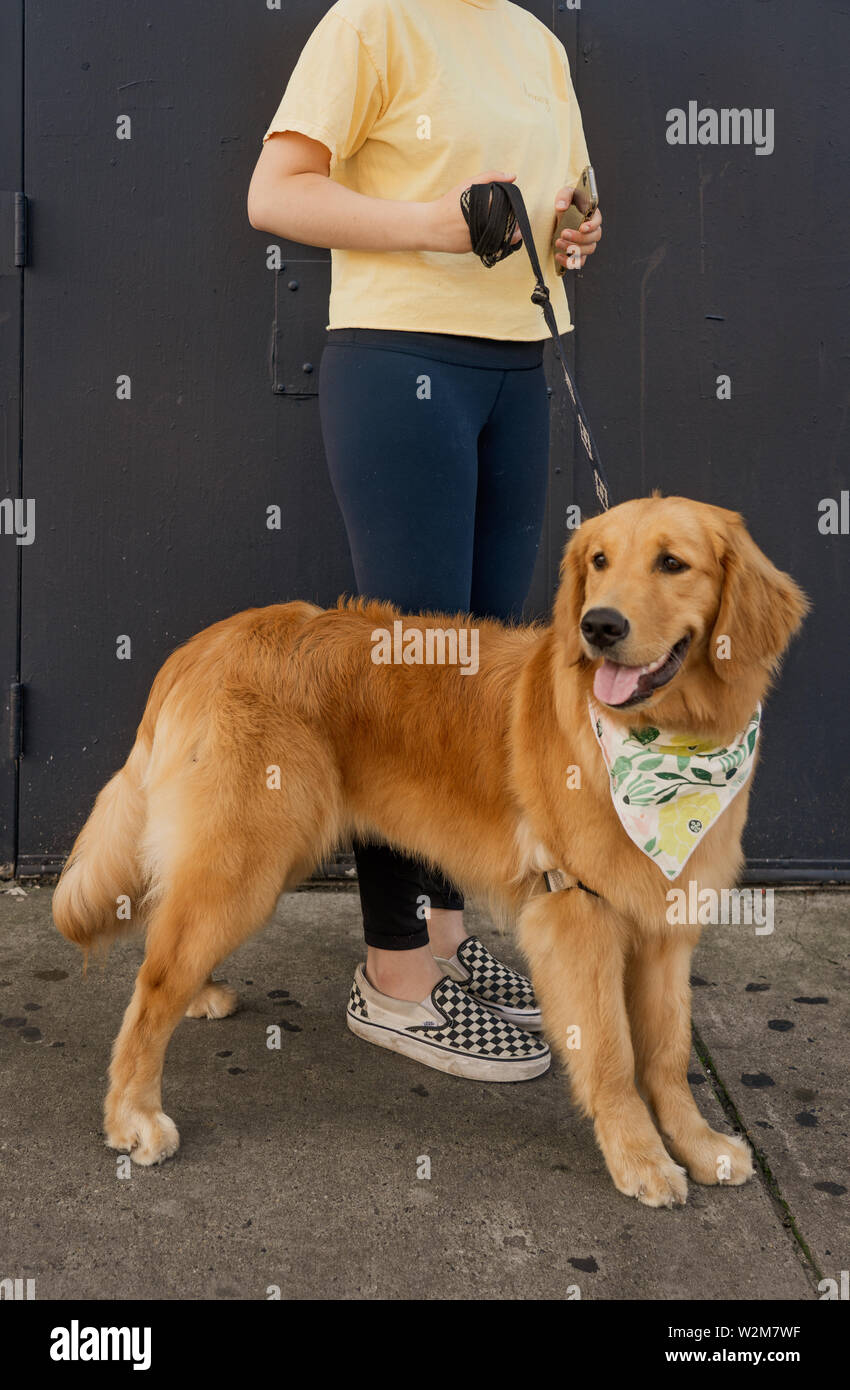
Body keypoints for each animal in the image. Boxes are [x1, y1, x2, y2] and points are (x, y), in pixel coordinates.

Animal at [54, 497, 811, 1206]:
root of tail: (200, 647)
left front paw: (696, 1142)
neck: (666, 746)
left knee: (168, 937)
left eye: (672, 563)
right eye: (599, 561)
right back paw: (133, 1113)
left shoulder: (667, 921)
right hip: (250, 860)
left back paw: (200, 993)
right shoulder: (578, 912)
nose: (599, 626)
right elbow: (612, 1055)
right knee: (153, 982)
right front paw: (640, 1157)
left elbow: (669, 1053)